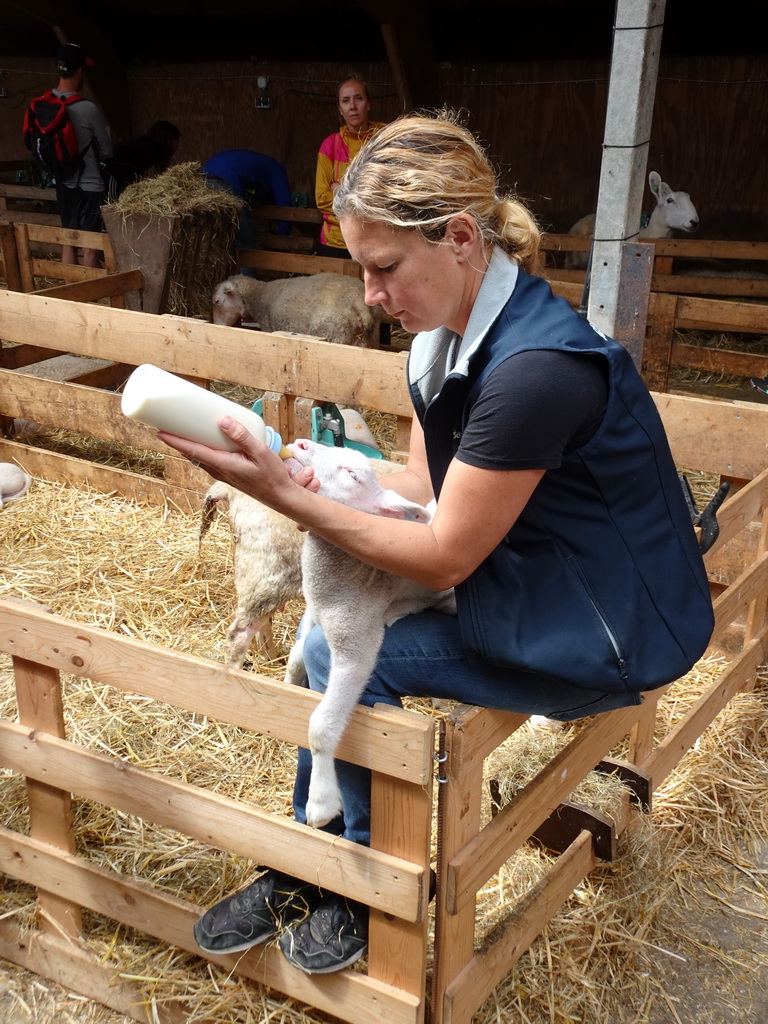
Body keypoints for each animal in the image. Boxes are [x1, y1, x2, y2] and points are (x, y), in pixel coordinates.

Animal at [210, 272, 387, 348]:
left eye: (217, 301)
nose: (217, 325)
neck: (260, 295)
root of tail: (357, 300)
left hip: (336, 336)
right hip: (370, 338)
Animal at [284, 440, 456, 831]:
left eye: (352, 475)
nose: (300, 444)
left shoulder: (355, 643)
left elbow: (320, 726)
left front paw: (321, 803)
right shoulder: (316, 612)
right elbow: (296, 654)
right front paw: (287, 686)